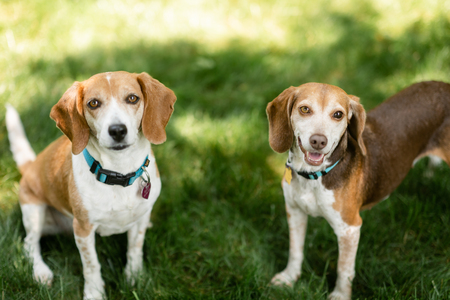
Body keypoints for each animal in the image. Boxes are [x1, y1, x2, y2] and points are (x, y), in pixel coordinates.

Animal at [6, 71, 178, 298]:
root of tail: (31, 165)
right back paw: (41, 272)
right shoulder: (83, 229)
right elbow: (92, 264)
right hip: (34, 211)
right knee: (29, 243)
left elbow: (135, 249)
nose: (117, 130)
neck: (119, 173)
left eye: (132, 98)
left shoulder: (141, 218)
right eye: (93, 103)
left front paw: (135, 277)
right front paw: (94, 293)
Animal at [266, 81, 450, 300]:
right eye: (304, 109)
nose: (318, 141)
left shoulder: (349, 228)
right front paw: (289, 277)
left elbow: (344, 268)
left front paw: (340, 295)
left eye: (338, 114)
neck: (313, 177)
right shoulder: (295, 211)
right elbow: (295, 250)